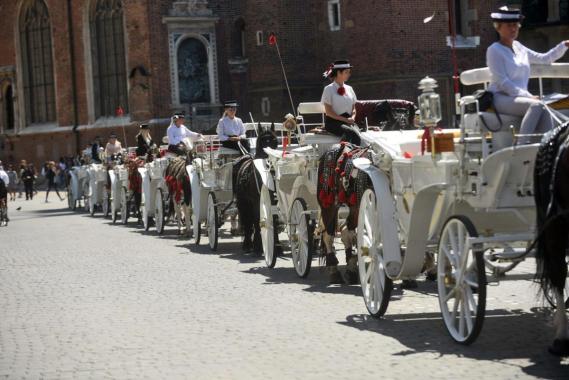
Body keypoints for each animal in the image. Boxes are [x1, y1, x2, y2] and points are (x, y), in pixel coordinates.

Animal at [232, 124, 278, 254]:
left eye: (274, 140)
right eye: (261, 140)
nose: (269, 161)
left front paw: (276, 246)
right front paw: (258, 246)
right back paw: (248, 244)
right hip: (244, 202)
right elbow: (257, 220)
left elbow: (275, 220)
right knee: (248, 221)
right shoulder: (257, 201)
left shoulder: (274, 201)